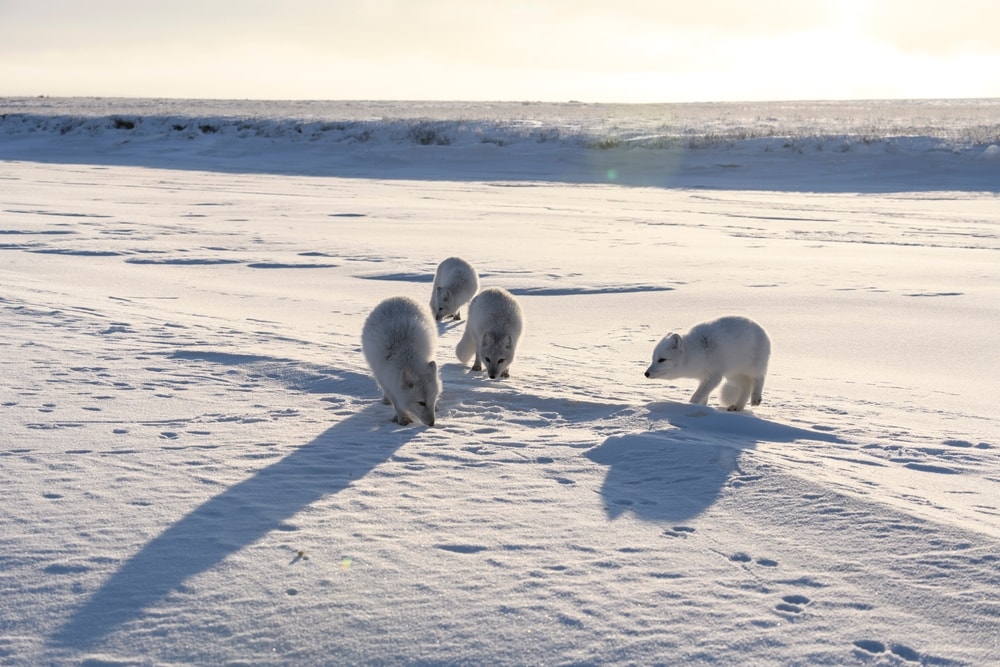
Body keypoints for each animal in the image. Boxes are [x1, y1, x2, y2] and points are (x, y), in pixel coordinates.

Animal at [361, 295, 441, 426]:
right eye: (421, 403)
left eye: (433, 399)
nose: (432, 423)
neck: (406, 353)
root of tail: (396, 298)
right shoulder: (388, 381)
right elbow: (397, 403)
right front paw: (403, 418)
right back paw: (386, 400)